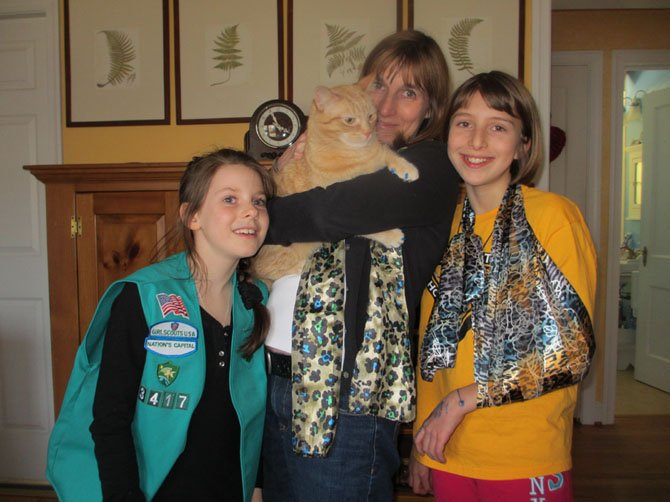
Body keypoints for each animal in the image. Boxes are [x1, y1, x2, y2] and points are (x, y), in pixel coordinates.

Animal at [253, 80, 420, 280]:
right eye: (349, 120)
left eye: (371, 116)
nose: (368, 133)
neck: (354, 153)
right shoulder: (341, 213)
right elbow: (366, 227)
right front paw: (391, 234)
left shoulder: (377, 152)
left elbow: (387, 153)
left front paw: (406, 168)